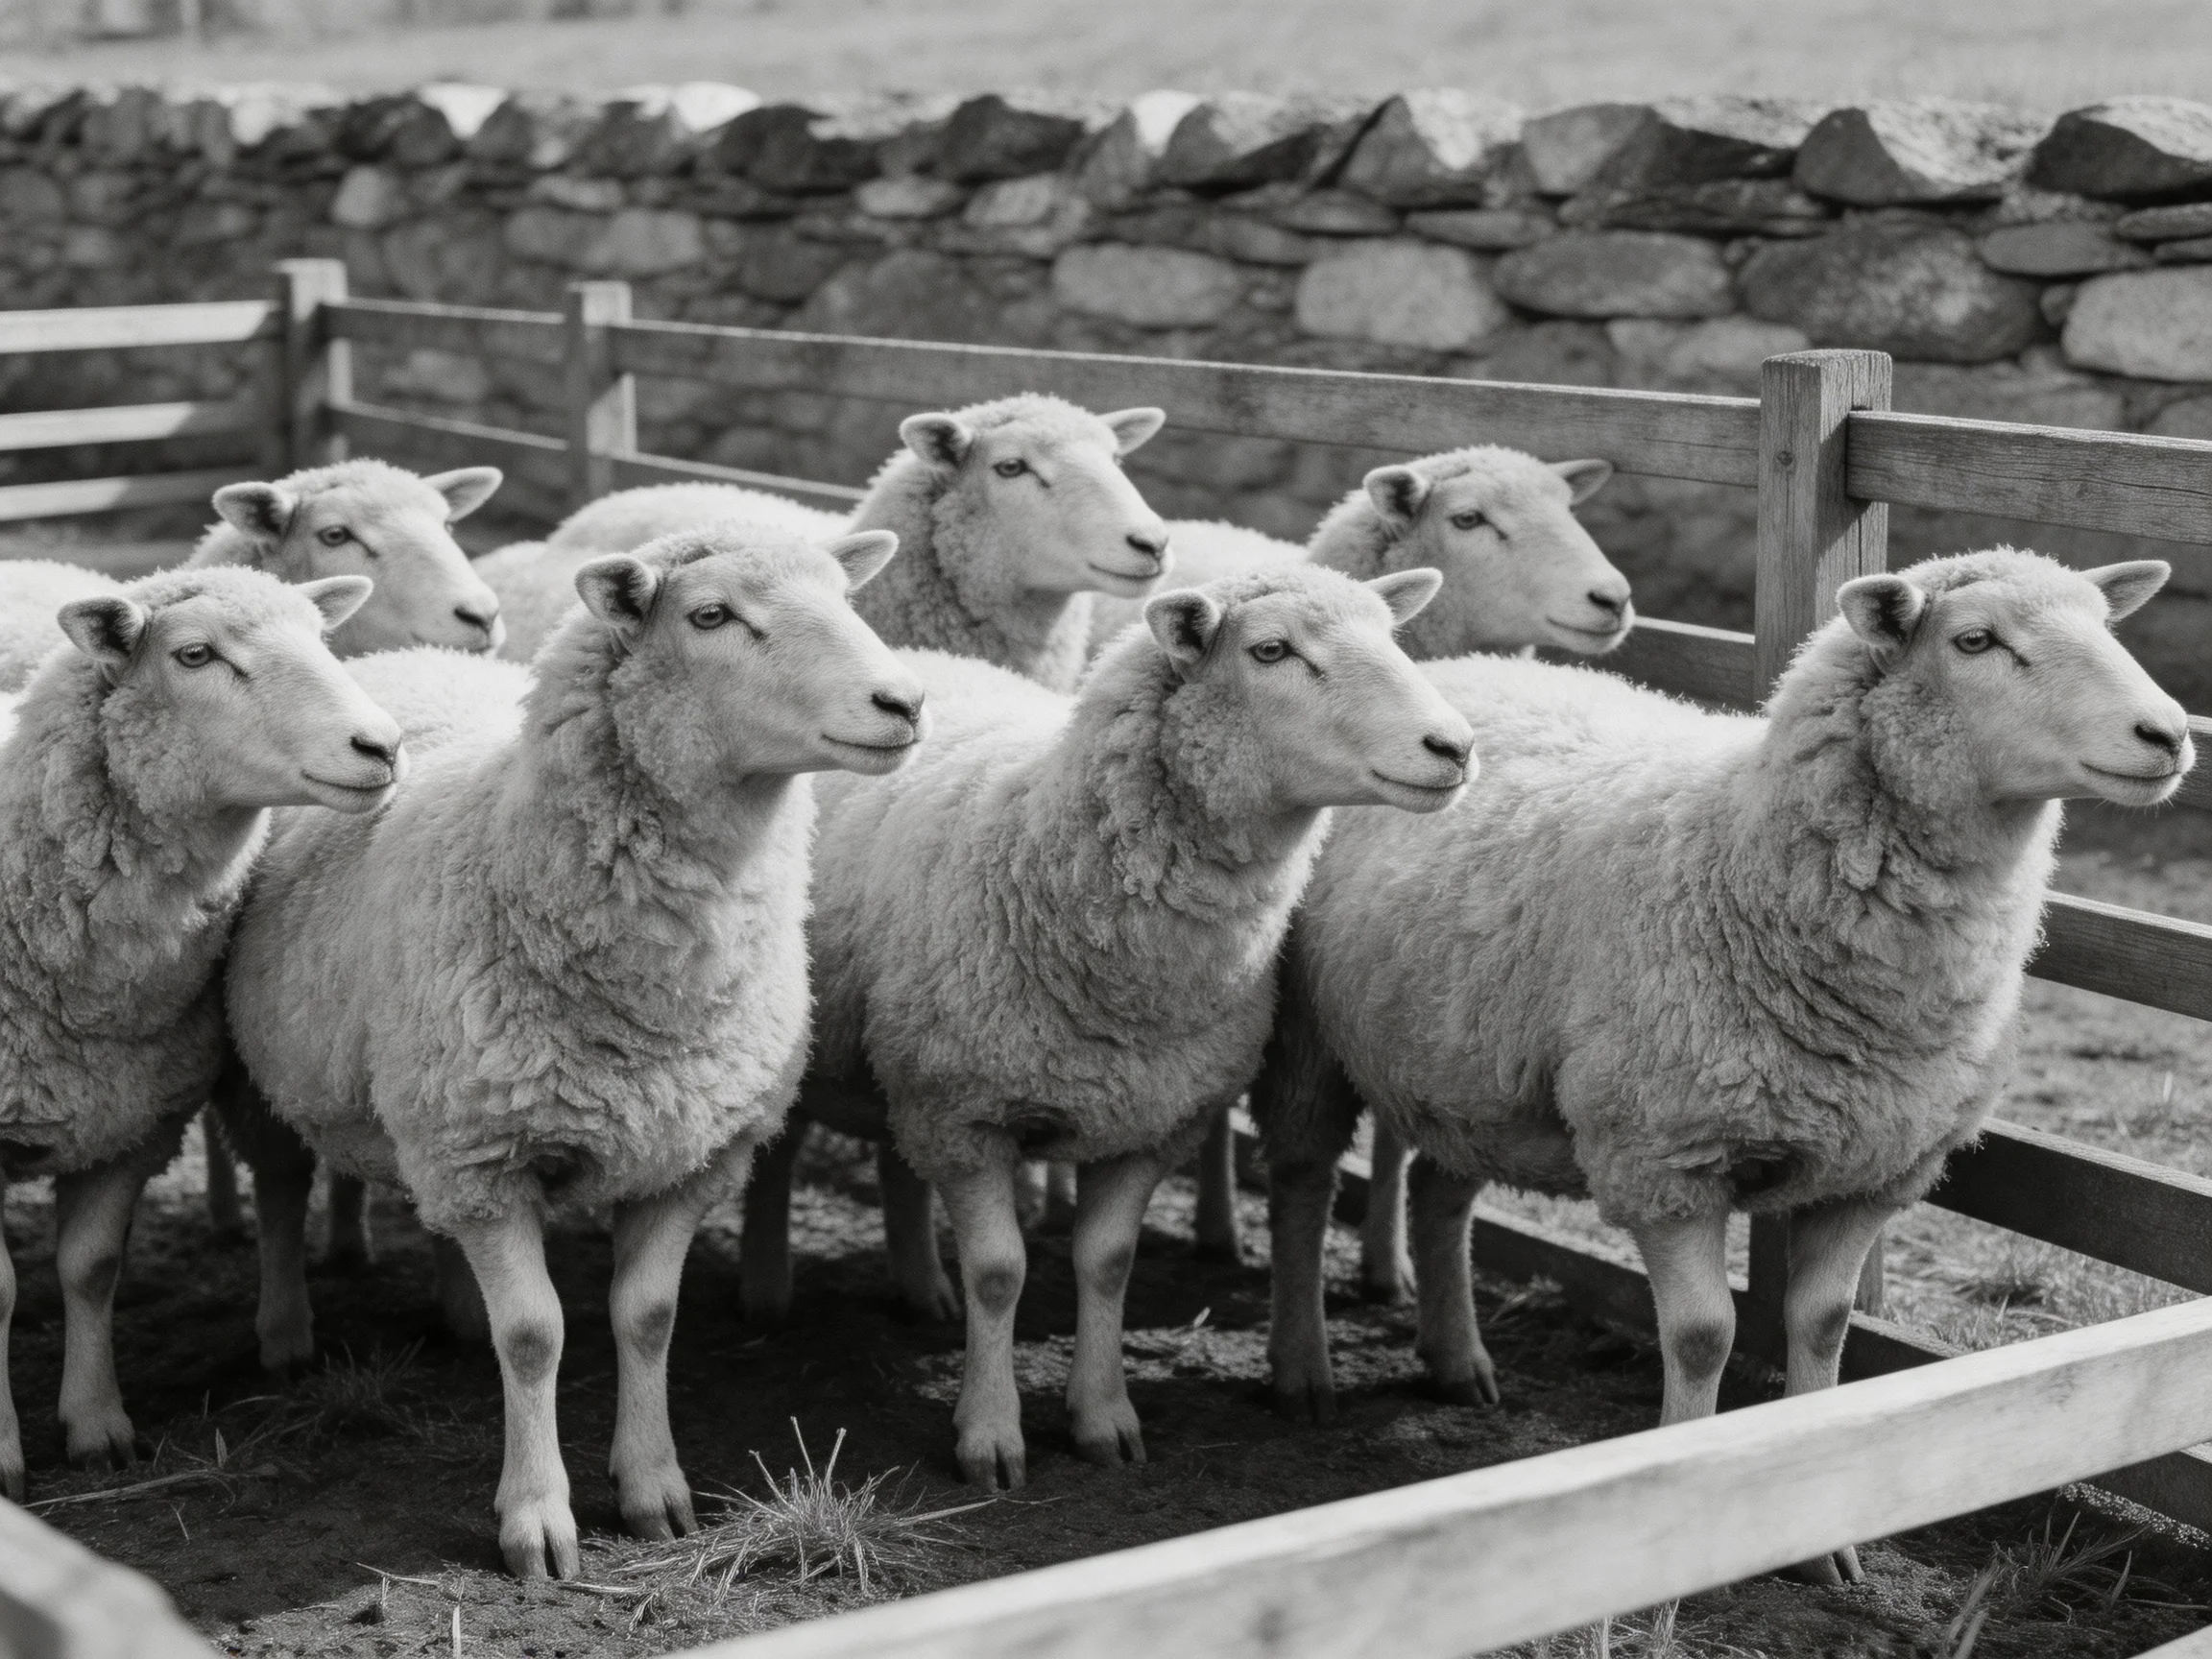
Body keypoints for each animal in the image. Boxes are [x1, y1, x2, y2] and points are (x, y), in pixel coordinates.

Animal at [0, 565, 401, 1499]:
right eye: (194, 655)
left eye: (321, 639)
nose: (381, 746)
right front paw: (2, 1454)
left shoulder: (132, 1118)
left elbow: (90, 1268)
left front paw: (98, 1427)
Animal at [219, 522, 928, 1578]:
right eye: (710, 615)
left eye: (848, 598)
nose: (903, 703)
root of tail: (410, 658)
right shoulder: (486, 1157)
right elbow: (534, 1334)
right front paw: (537, 1519)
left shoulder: (691, 1156)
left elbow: (647, 1318)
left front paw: (654, 1490)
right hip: (266, 1078)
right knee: (276, 1188)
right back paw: (284, 1333)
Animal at [798, 563, 1475, 1488]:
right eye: (1271, 650)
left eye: (1390, 636)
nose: (1455, 747)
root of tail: (921, 658)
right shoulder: (965, 1113)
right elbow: (1000, 1272)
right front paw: (991, 1434)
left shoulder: (1150, 1121)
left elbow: (1107, 1264)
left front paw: (1103, 1418)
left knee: (900, 1166)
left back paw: (922, 1291)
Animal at [1255, 548, 2192, 1583]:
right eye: (1977, 640)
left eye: (2106, 623)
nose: (2167, 735)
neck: (1745, 855)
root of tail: (1463, 669)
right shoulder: (1667, 1156)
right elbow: (1704, 1337)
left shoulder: (1875, 1168)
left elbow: (1824, 1326)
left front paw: (1825, 1547)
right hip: (1311, 1039)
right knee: (1300, 1185)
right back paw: (1302, 1369)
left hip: (1474, 1064)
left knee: (1438, 1197)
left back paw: (1457, 1363)